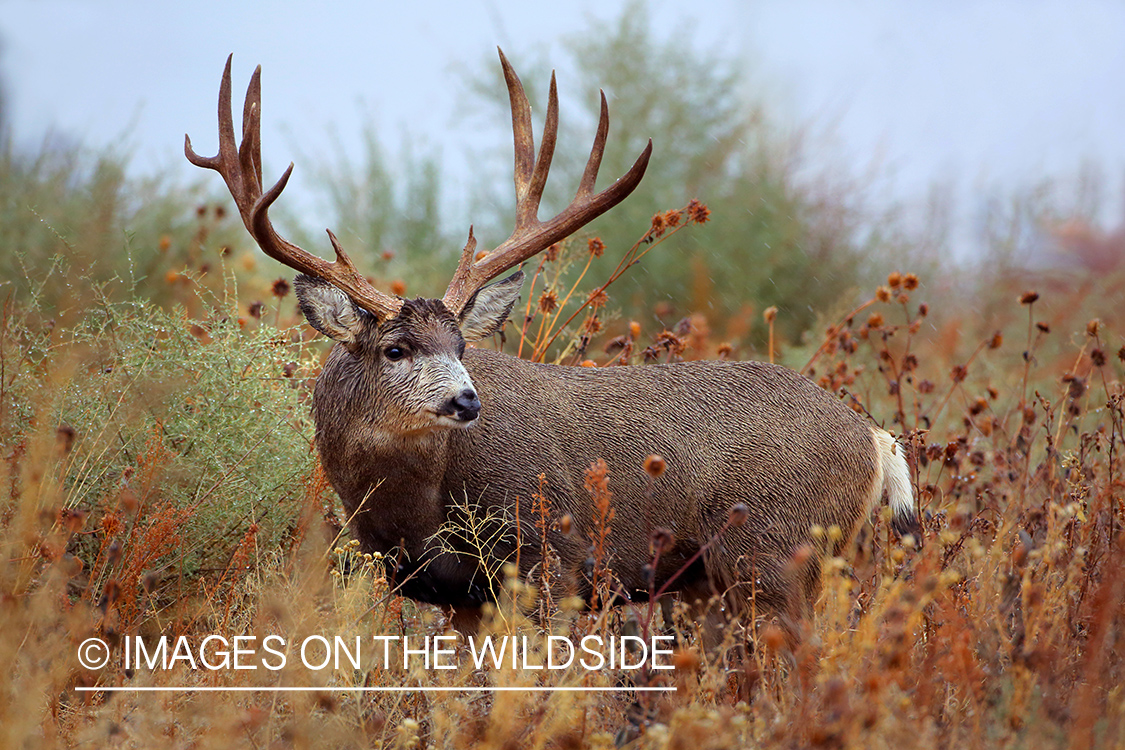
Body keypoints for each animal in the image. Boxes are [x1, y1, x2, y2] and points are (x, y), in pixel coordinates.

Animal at [189, 51, 918, 647]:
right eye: (395, 348)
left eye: (460, 342)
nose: (466, 400)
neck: (412, 510)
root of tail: (875, 437)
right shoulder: (458, 597)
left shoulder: (553, 559)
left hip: (771, 554)